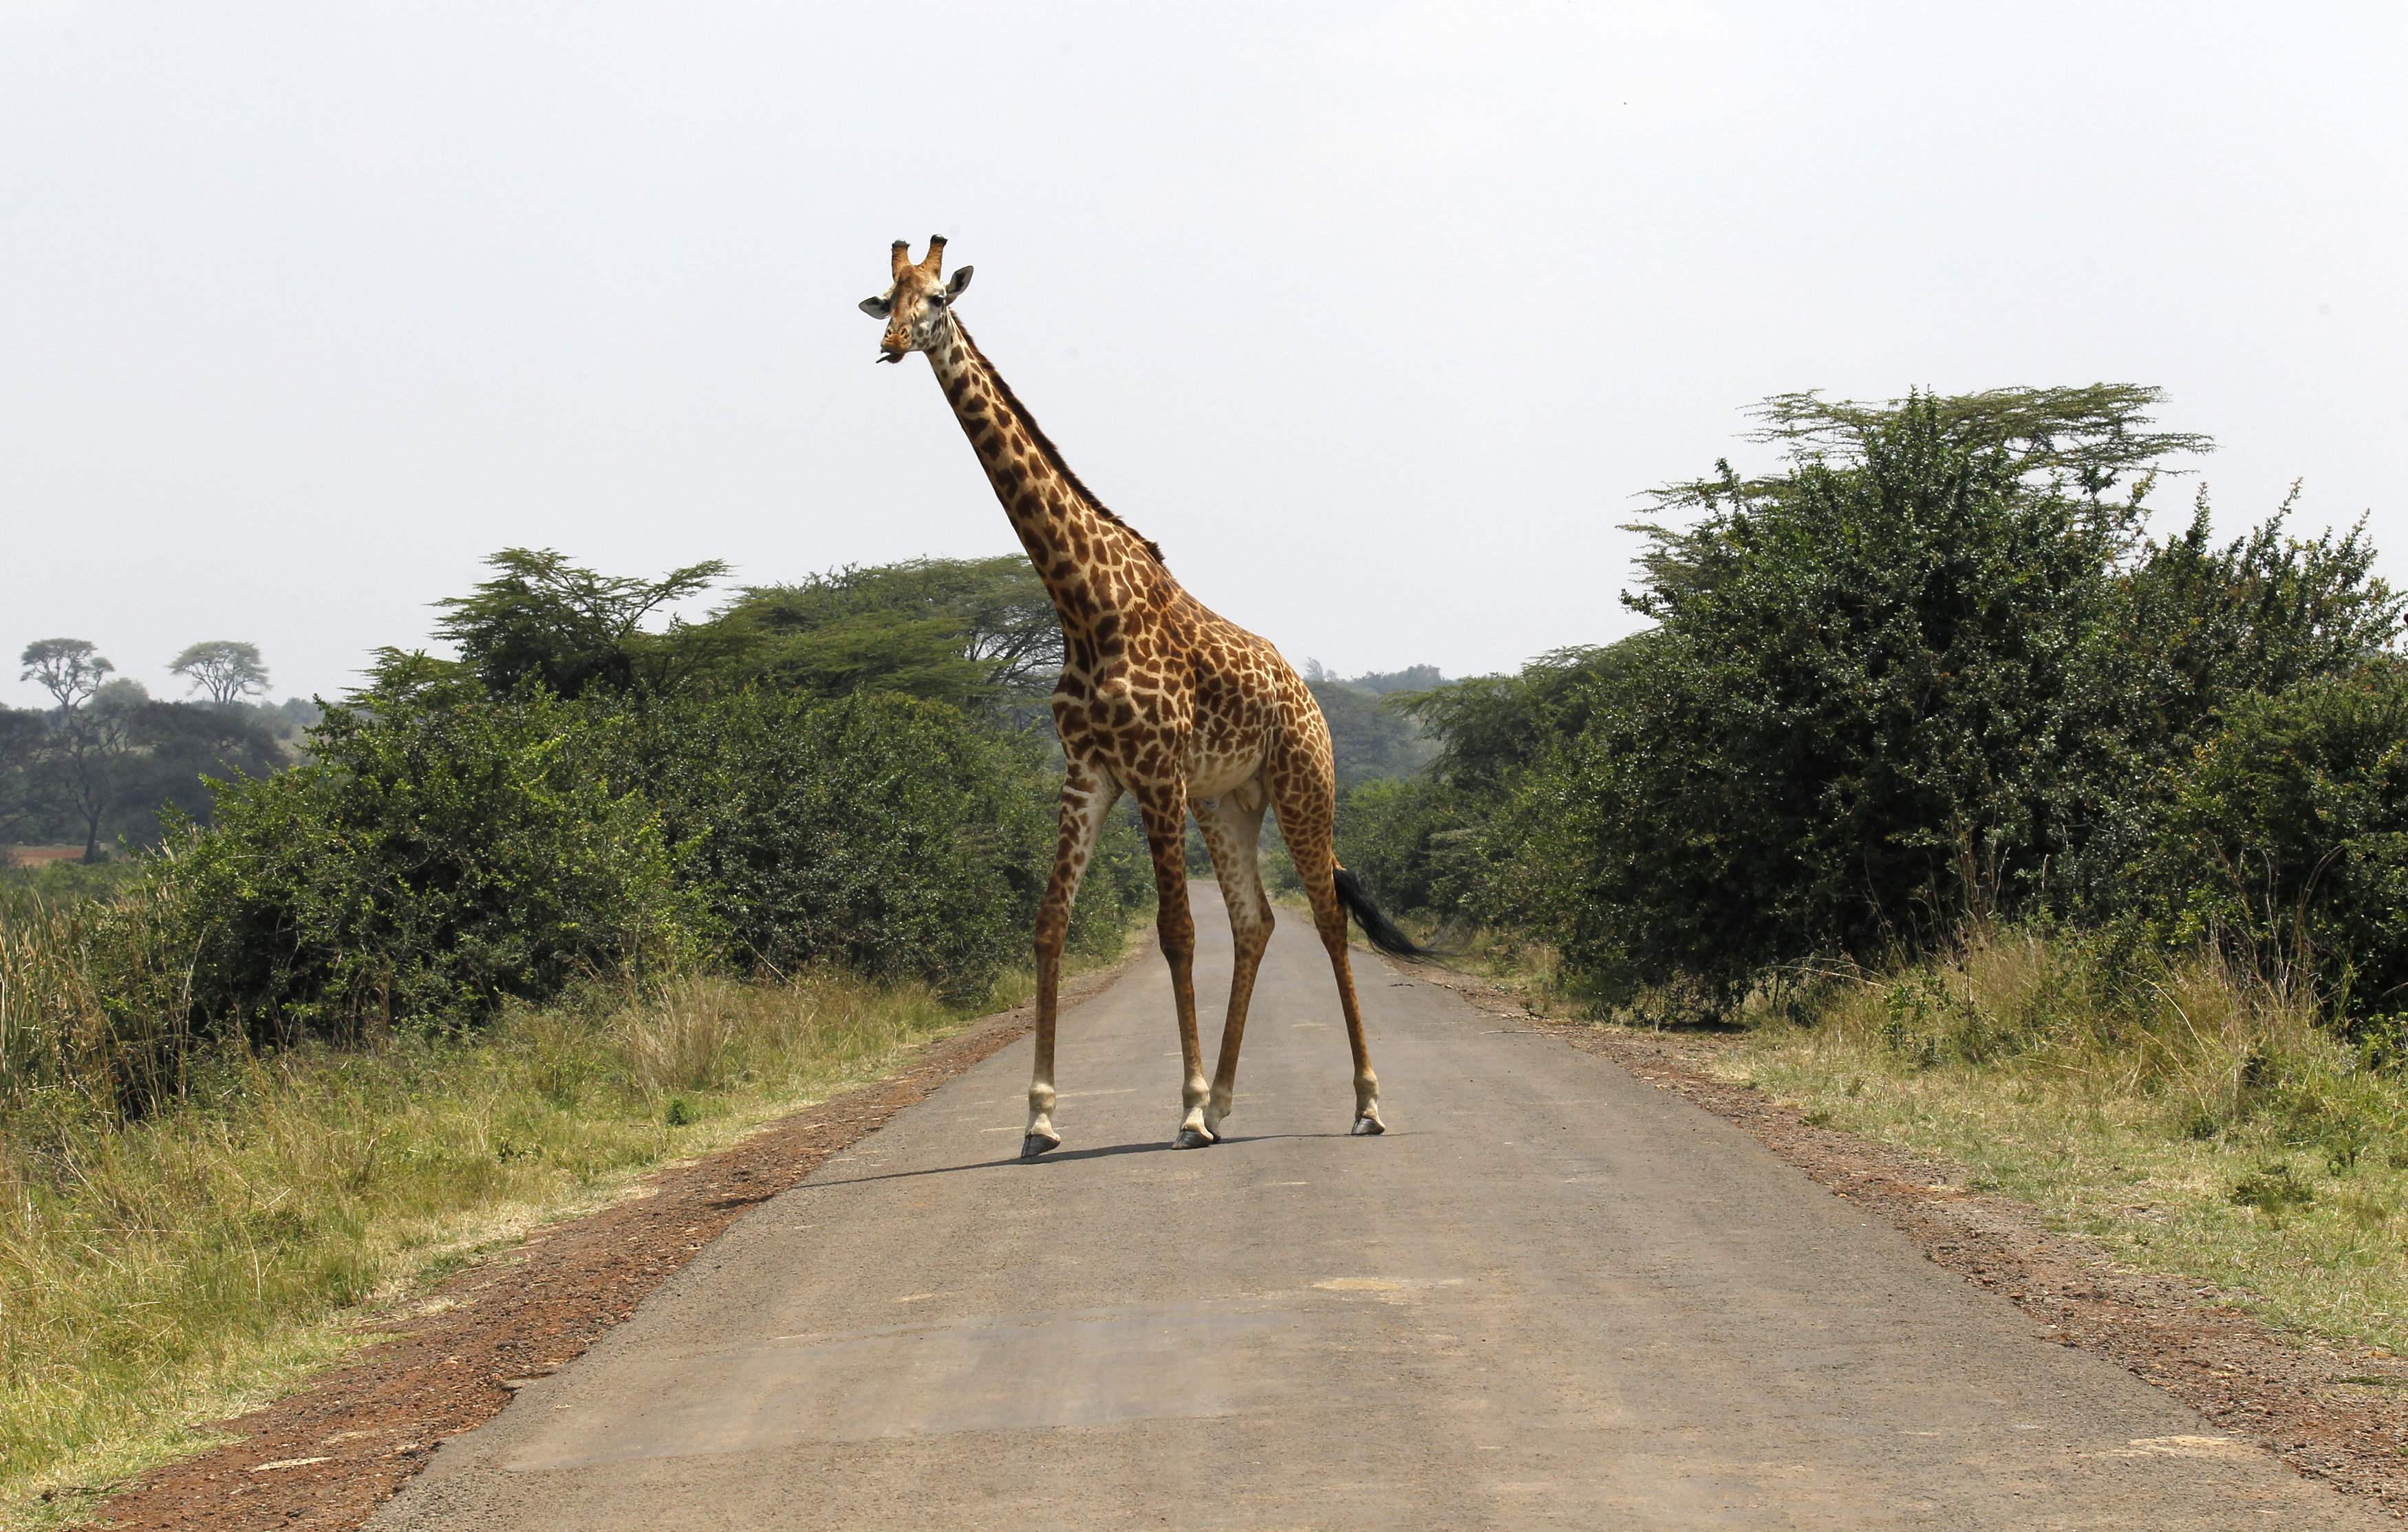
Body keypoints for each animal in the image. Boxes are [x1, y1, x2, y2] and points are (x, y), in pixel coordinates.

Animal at [861, 236, 1429, 1157]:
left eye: (938, 299)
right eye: (888, 295)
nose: (892, 345)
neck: (1080, 604)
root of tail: (1310, 699)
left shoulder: (1155, 771)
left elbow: (1175, 931)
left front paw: (1186, 1106)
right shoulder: (1088, 772)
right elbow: (1049, 921)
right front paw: (1040, 1116)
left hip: (1302, 785)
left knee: (1326, 917)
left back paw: (1363, 1102)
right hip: (1227, 800)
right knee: (1257, 920)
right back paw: (1232, 1101)